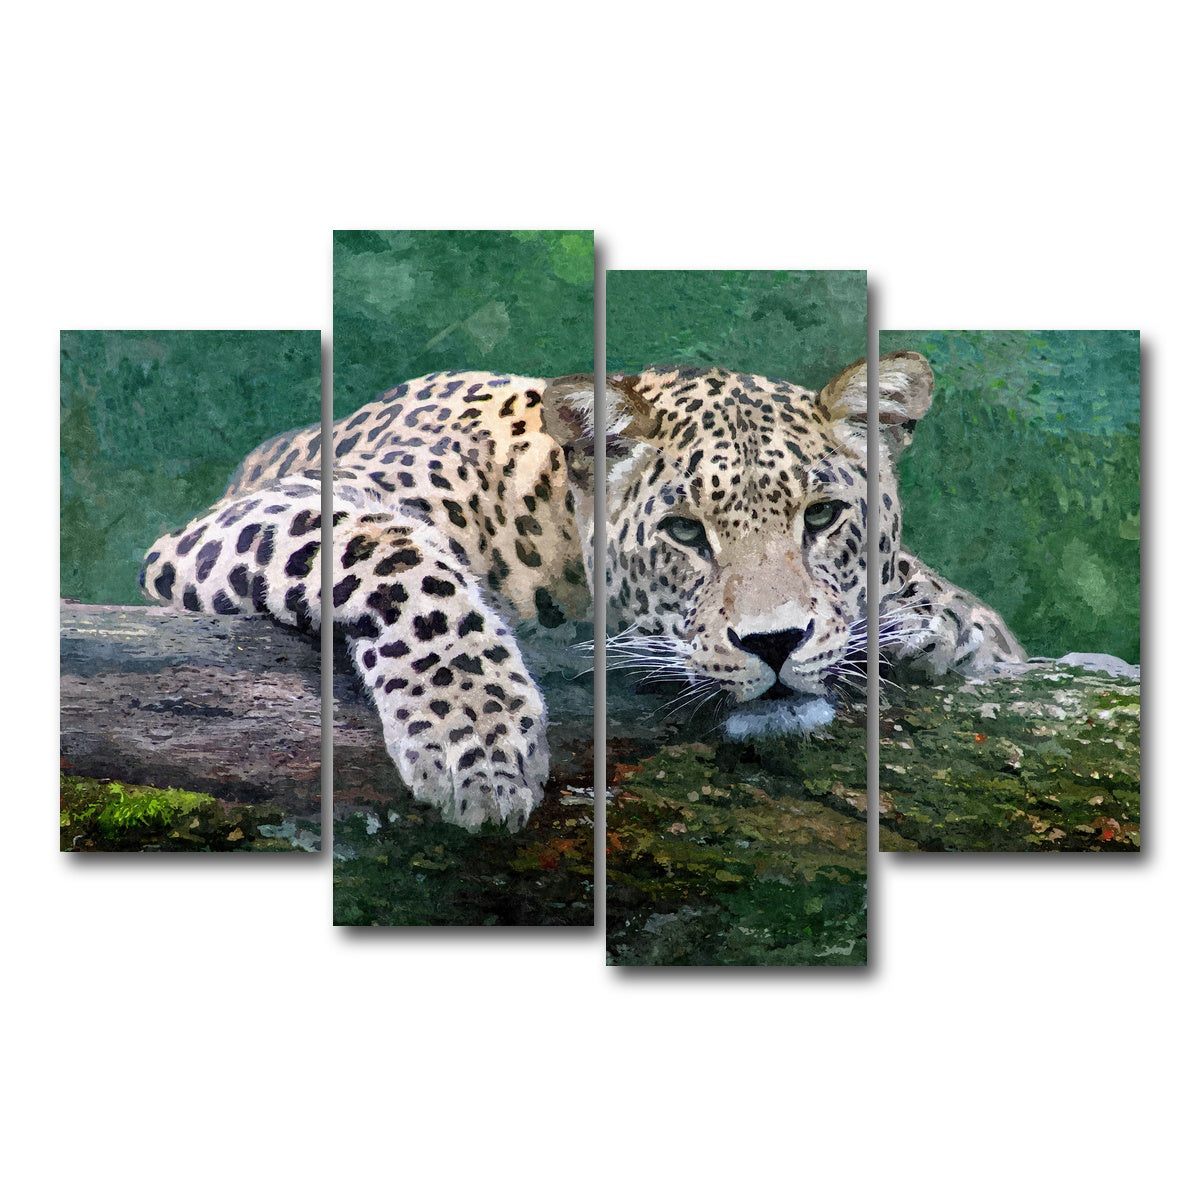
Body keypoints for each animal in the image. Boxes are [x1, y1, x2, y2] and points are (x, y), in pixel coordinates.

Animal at [140, 352, 1023, 832]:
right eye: (685, 533)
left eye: (824, 516)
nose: (774, 644)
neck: (554, 530)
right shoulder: (255, 517)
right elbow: (401, 560)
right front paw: (477, 741)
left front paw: (933, 621)